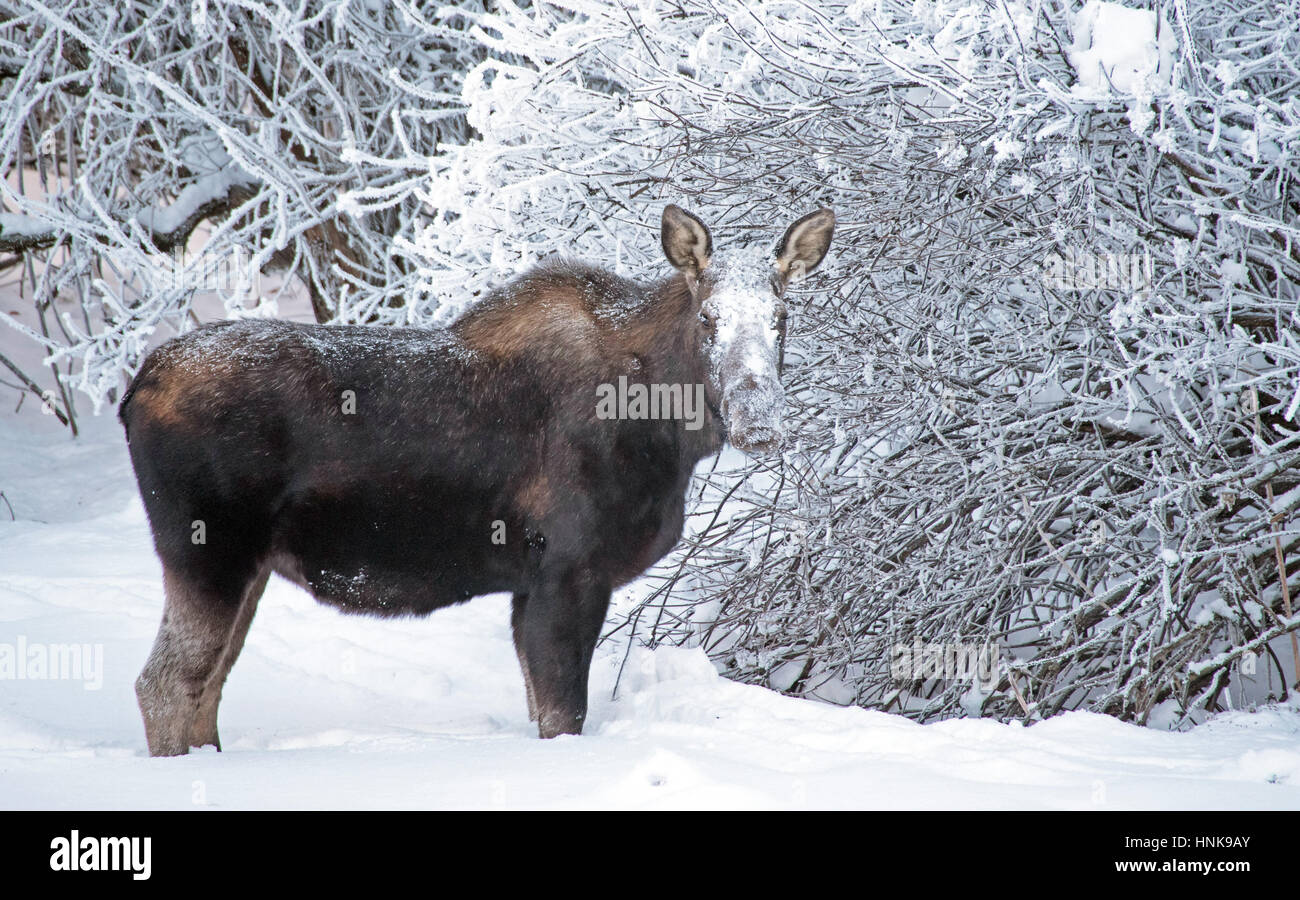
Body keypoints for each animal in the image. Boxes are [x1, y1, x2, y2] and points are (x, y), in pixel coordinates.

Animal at [122, 201, 832, 754]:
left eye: (781, 319)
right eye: (708, 319)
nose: (760, 420)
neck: (668, 434)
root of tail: (135, 390)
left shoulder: (530, 586)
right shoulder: (567, 569)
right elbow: (563, 714)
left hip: (249, 567)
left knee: (207, 686)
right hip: (205, 551)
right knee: (164, 684)